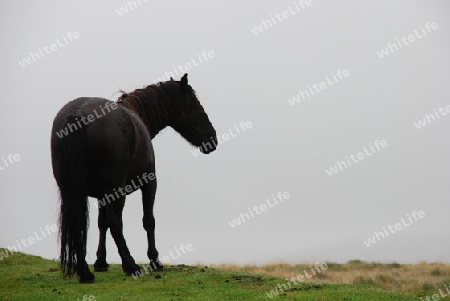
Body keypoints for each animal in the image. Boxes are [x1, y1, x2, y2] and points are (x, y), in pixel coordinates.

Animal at [50, 74, 217, 282]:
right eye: (195, 105)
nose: (213, 138)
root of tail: (78, 115)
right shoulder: (149, 184)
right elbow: (148, 220)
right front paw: (154, 260)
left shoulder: (102, 195)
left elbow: (101, 223)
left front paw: (100, 261)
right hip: (116, 190)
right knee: (114, 223)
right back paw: (130, 265)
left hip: (72, 191)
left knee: (77, 223)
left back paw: (85, 272)